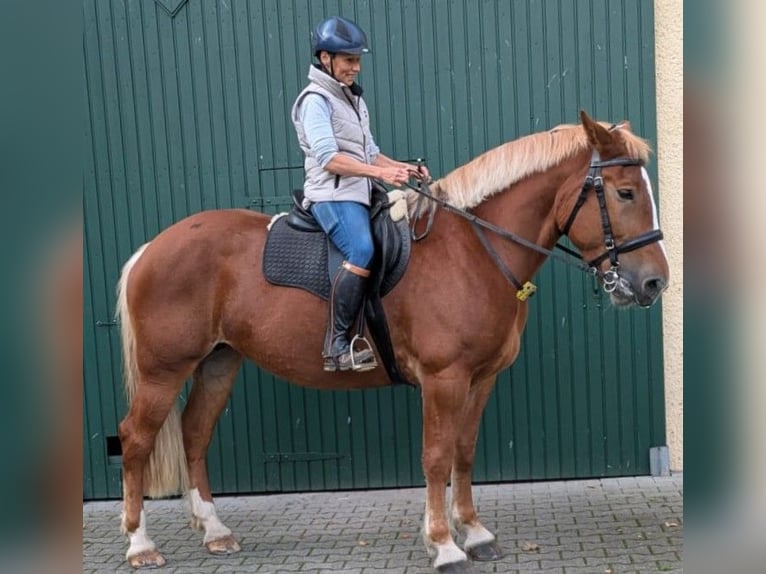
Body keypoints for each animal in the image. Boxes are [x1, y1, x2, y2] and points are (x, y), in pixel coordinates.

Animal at [115, 110, 672, 572]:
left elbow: (464, 452)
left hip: (217, 362)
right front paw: (444, 545)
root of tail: (150, 250)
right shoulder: (443, 379)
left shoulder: (480, 379)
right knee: (136, 439)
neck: (473, 250)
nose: (654, 283)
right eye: (625, 192)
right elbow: (436, 456)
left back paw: (214, 530)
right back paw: (141, 544)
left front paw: (474, 533)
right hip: (164, 371)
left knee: (194, 434)